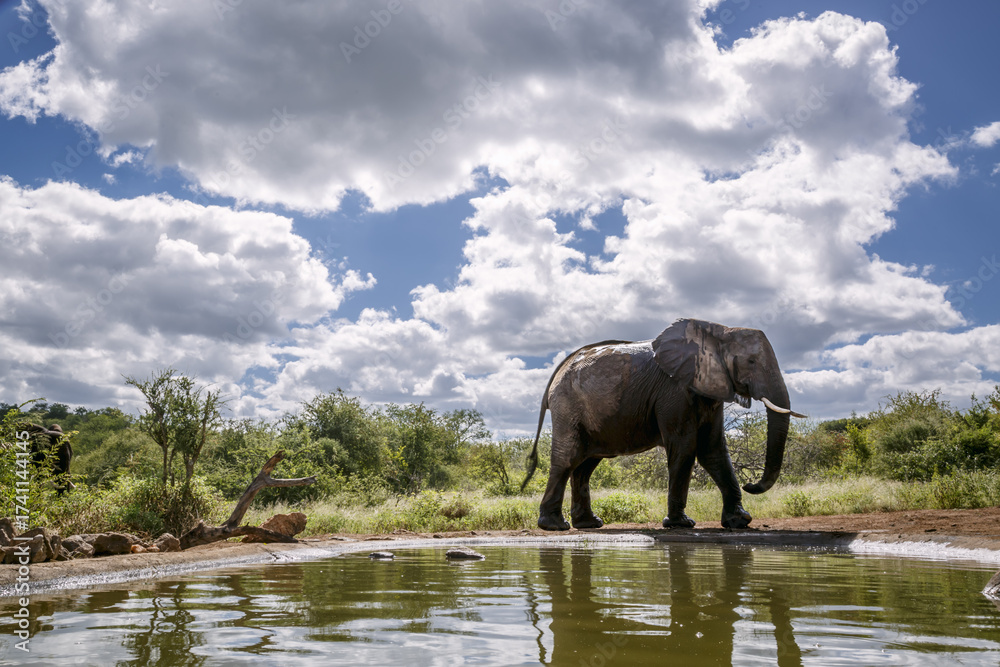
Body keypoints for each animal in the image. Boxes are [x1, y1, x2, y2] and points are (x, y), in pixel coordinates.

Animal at [521, 318, 806, 531]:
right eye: (751, 362)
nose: (751, 484)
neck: (717, 331)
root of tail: (558, 372)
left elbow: (712, 450)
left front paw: (739, 521)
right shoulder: (674, 390)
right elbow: (685, 446)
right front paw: (681, 524)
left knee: (586, 464)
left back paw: (589, 524)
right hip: (567, 404)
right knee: (568, 458)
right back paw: (555, 526)